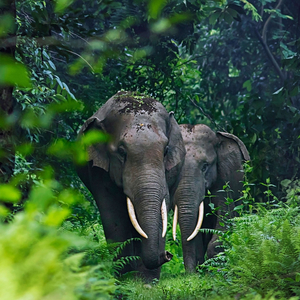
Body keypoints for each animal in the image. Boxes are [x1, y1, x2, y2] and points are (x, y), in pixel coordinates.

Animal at [76, 91, 186, 282]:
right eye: (121, 152)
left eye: (166, 151)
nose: (168, 254)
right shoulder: (98, 172)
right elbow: (114, 215)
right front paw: (125, 279)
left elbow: (162, 209)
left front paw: (147, 283)